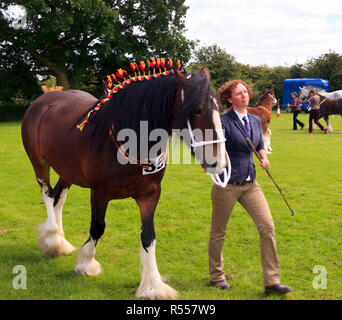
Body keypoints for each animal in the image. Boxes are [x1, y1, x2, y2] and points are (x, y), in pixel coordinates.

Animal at [20, 64, 227, 300]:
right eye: (197, 110)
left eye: (219, 108)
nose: (219, 161)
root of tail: (45, 99)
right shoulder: (99, 193)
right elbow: (97, 227)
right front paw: (86, 264)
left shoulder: (150, 195)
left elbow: (148, 236)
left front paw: (154, 285)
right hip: (39, 163)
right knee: (47, 195)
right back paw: (53, 239)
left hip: (67, 170)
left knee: (58, 199)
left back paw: (60, 243)